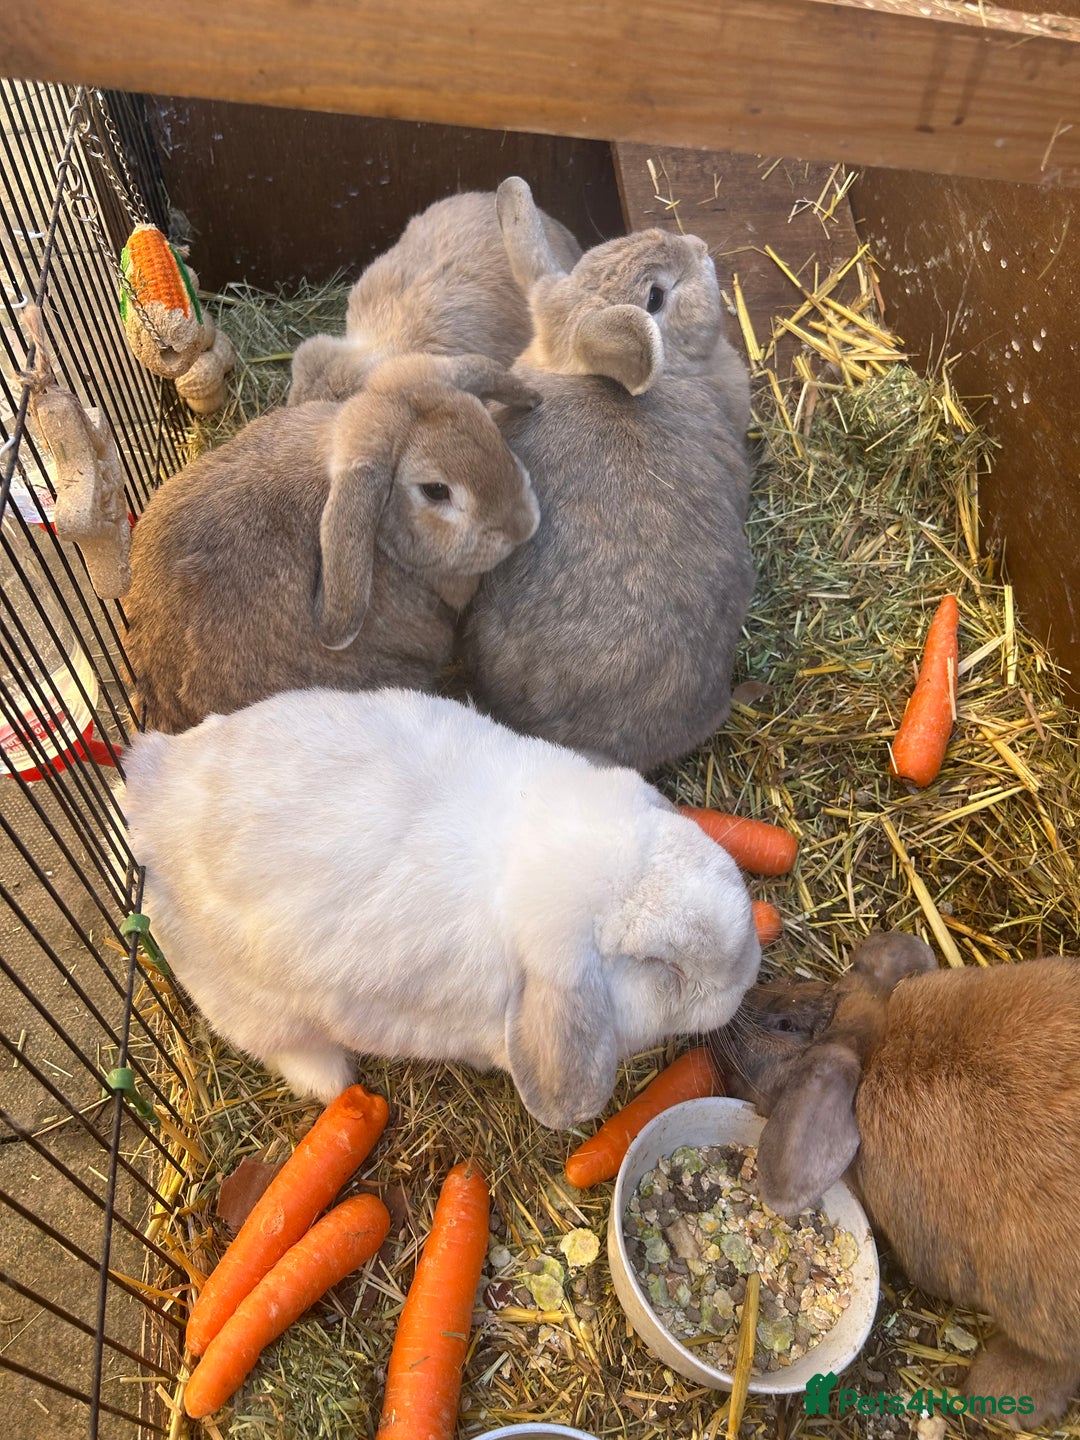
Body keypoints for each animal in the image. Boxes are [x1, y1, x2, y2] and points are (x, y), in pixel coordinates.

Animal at [120, 684, 762, 1128]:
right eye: (660, 966)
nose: (749, 969)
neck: (530, 847)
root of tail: (150, 793)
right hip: (249, 1006)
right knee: (284, 1049)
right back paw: (332, 1080)